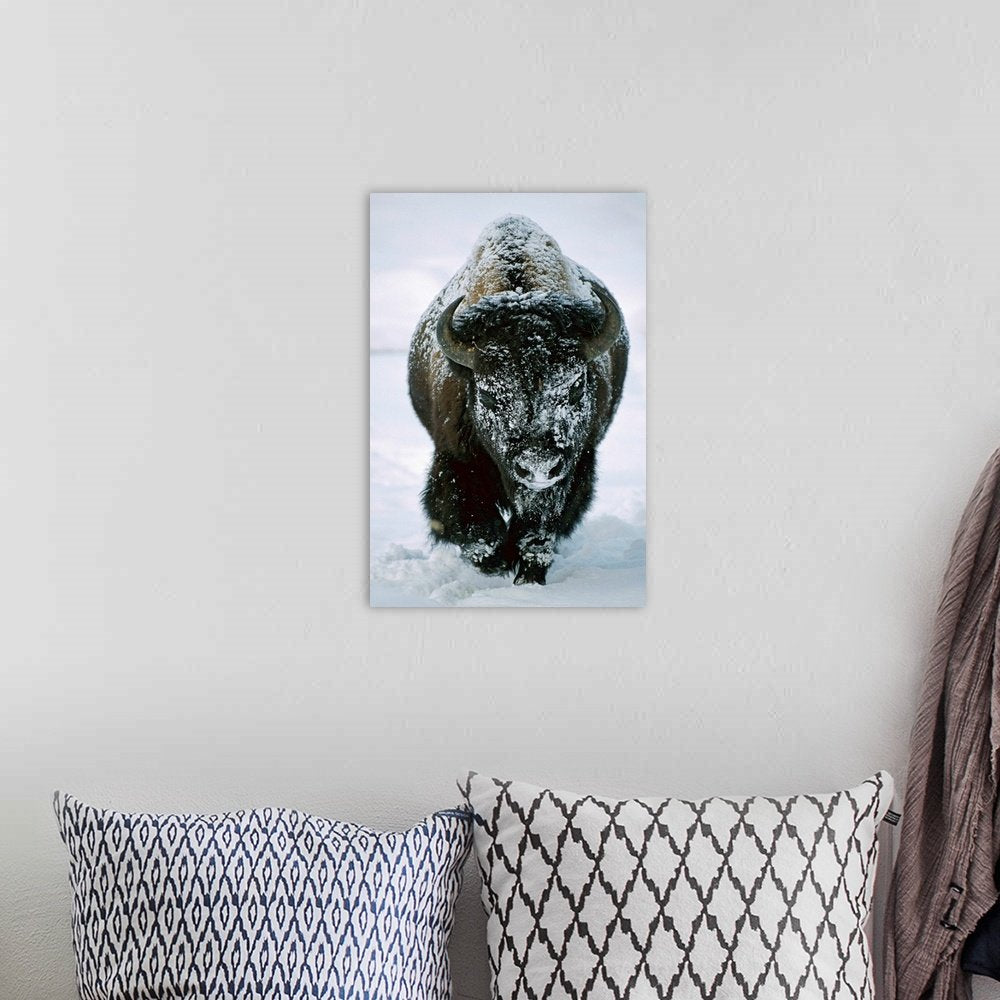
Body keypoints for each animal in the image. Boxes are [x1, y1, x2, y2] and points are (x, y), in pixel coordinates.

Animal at [407, 215, 629, 585]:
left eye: (575, 387)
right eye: (487, 395)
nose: (538, 466)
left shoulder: (574, 468)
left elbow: (537, 532)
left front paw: (527, 575)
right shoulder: (454, 459)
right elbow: (476, 530)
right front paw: (496, 563)